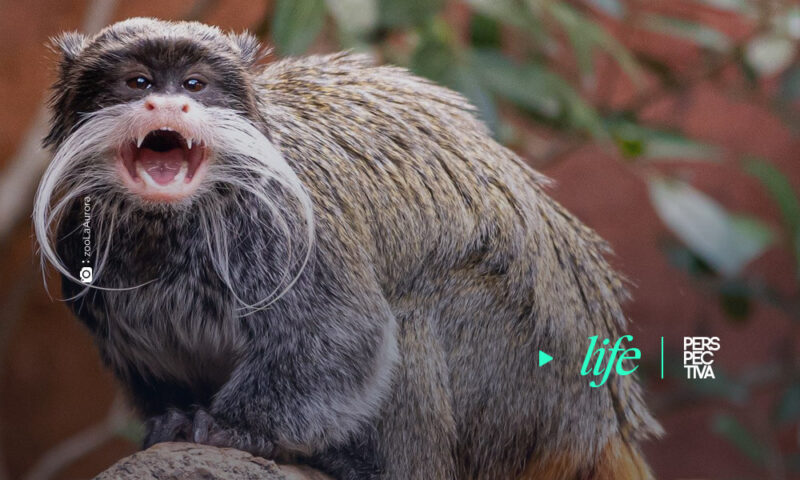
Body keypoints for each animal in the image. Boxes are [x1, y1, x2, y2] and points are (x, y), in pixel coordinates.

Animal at [34, 17, 662, 480]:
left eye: (194, 86)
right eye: (138, 83)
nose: (168, 106)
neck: (170, 229)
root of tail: (600, 421)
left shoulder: (282, 222)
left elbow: (343, 335)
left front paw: (231, 431)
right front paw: (172, 424)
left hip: (525, 376)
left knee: (415, 308)